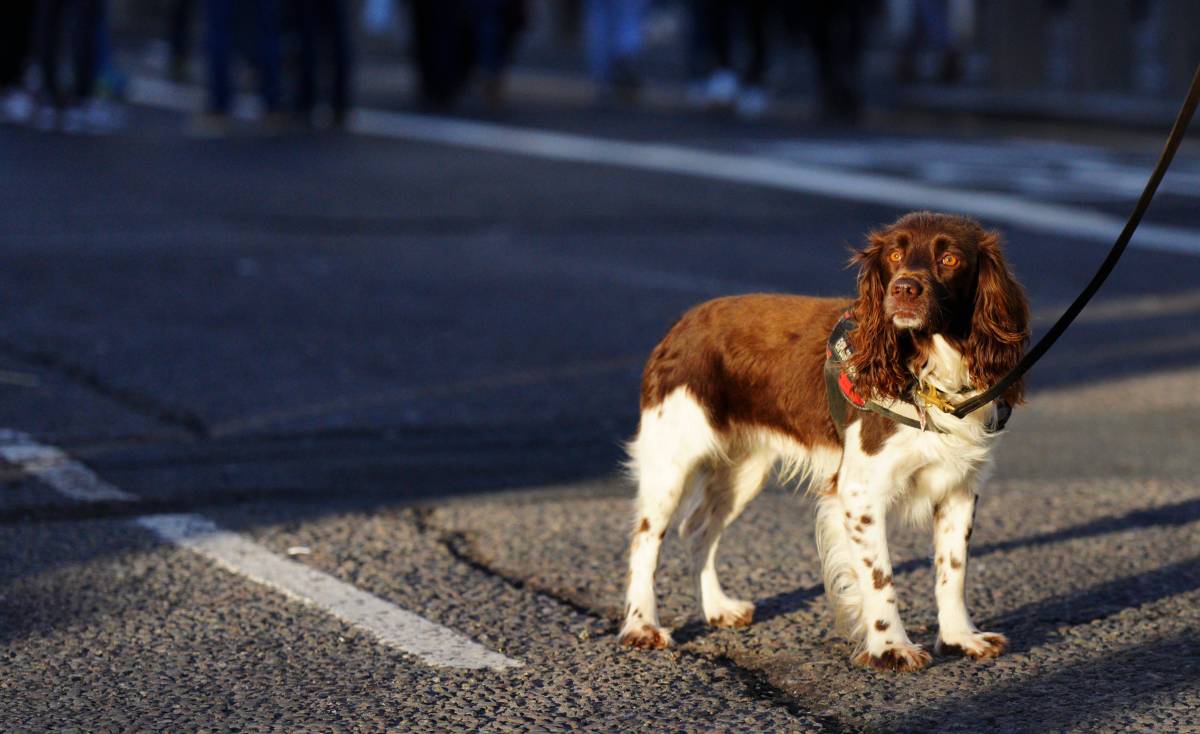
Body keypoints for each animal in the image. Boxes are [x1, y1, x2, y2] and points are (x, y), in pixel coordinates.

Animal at [619, 211, 1032, 671]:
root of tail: (680, 324)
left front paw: (961, 638)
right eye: (894, 255)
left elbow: (953, 570)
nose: (904, 288)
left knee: (697, 529)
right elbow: (880, 576)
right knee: (645, 541)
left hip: (743, 471)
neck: (929, 371)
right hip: (671, 458)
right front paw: (890, 647)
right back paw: (641, 626)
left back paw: (717, 608)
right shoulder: (859, 492)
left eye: (950, 258)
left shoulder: (960, 486)